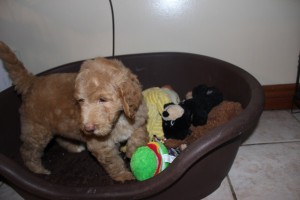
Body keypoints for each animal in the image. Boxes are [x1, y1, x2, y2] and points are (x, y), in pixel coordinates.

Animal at [0, 41, 148, 182]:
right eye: (81, 100)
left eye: (102, 99)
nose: (88, 128)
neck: (119, 118)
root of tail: (32, 81)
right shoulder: (100, 145)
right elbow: (113, 162)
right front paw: (123, 176)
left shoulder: (139, 118)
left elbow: (140, 134)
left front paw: (133, 151)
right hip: (37, 130)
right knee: (28, 150)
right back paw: (38, 170)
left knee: (60, 138)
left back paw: (74, 147)